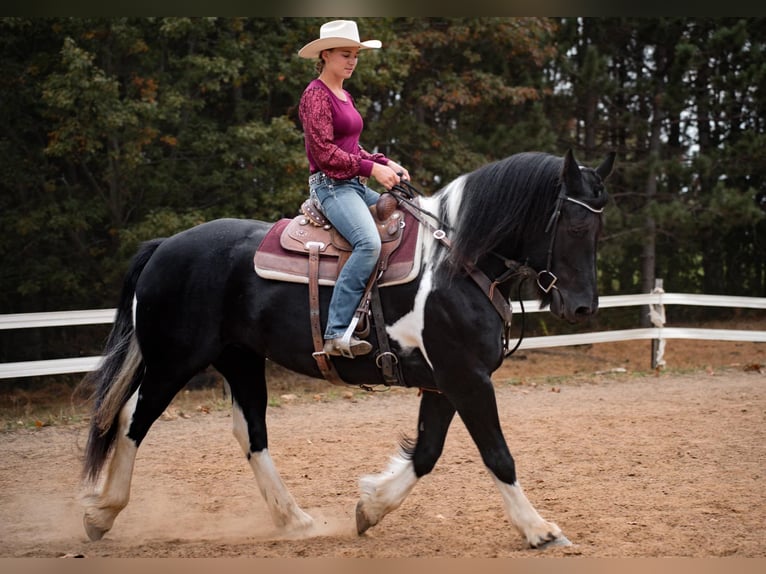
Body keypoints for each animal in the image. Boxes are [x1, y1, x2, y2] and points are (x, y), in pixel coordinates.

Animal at [78, 147, 616, 548]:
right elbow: (497, 454)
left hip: (241, 361)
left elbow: (427, 453)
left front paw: (370, 507)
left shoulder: (443, 383)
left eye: (599, 228)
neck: (454, 265)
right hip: (174, 361)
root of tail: (165, 246)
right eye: (574, 225)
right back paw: (101, 515)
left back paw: (295, 520)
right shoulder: (466, 379)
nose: (583, 307)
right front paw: (539, 530)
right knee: (132, 418)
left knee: (251, 432)